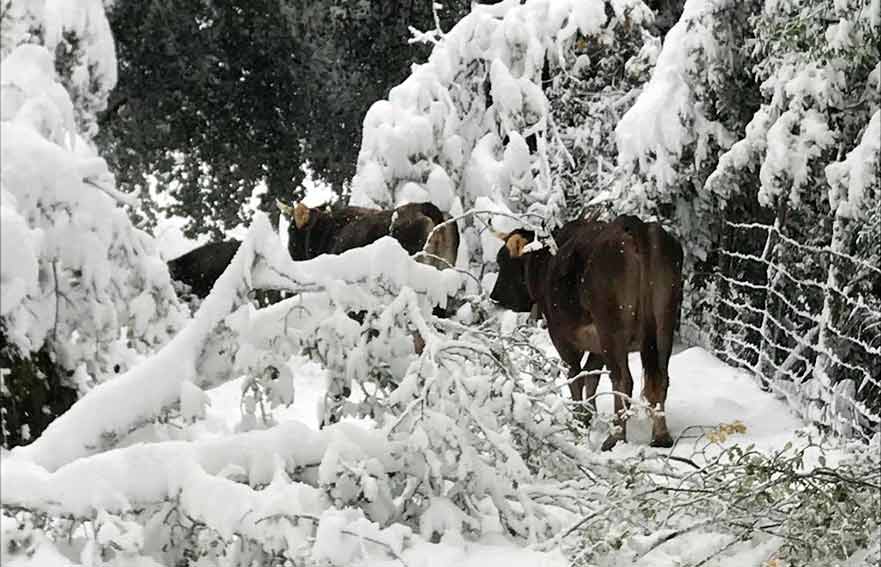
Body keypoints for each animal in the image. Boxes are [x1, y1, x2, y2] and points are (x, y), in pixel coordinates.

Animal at [492, 215, 684, 450]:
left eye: (504, 261)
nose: (495, 296)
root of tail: (636, 226)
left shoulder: (562, 336)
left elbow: (575, 375)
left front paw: (578, 418)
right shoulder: (597, 344)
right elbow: (591, 376)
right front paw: (587, 414)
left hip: (611, 329)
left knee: (623, 380)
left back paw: (615, 437)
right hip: (663, 326)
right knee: (660, 378)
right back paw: (661, 436)